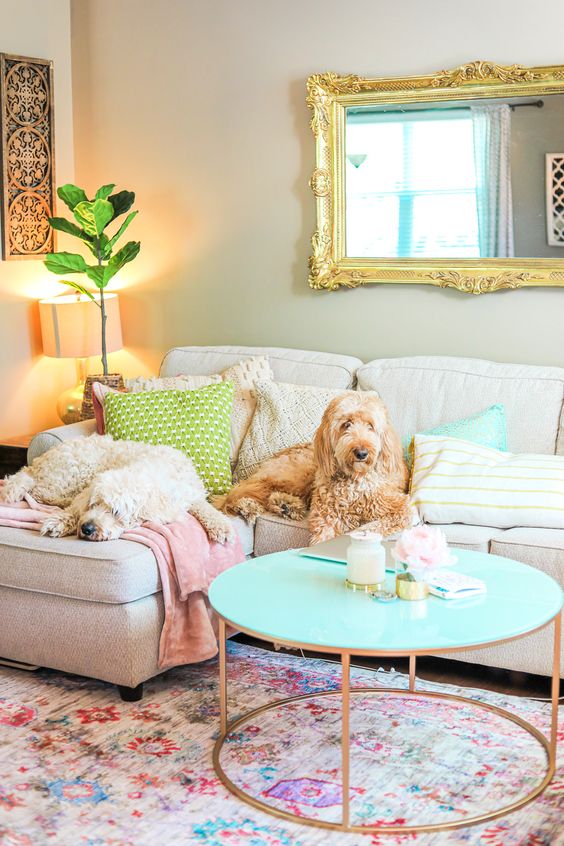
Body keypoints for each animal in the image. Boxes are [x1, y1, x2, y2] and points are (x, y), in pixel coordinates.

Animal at [0, 434, 234, 548]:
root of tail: (36, 463)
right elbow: (75, 509)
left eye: (116, 512)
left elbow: (205, 508)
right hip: (72, 475)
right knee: (38, 491)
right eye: (94, 504)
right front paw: (59, 522)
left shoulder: (188, 495)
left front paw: (221, 526)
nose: (87, 528)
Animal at [218, 394, 412, 548]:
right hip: (300, 474)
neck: (353, 481)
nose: (361, 453)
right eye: (346, 424)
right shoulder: (327, 519)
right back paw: (252, 506)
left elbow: (377, 525)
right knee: (250, 490)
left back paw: (285, 506)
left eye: (370, 426)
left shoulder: (400, 507)